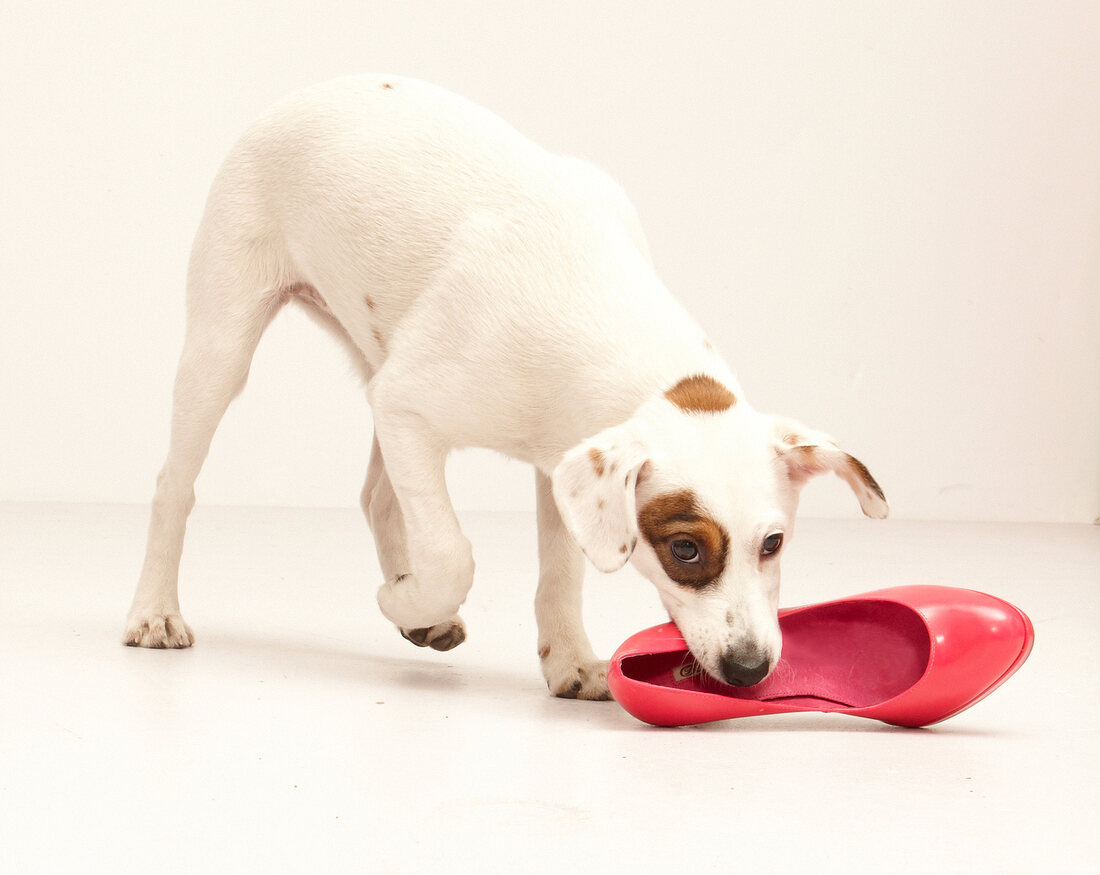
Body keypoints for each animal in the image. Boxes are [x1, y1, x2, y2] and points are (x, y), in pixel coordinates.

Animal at [124, 78, 888, 700]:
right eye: (685, 551)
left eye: (774, 543)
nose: (752, 669)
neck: (594, 304)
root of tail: (309, 89)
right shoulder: (408, 407)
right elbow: (451, 554)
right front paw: (404, 600)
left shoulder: (554, 456)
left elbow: (559, 572)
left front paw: (568, 658)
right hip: (224, 348)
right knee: (173, 485)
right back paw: (156, 609)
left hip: (379, 365)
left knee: (378, 497)